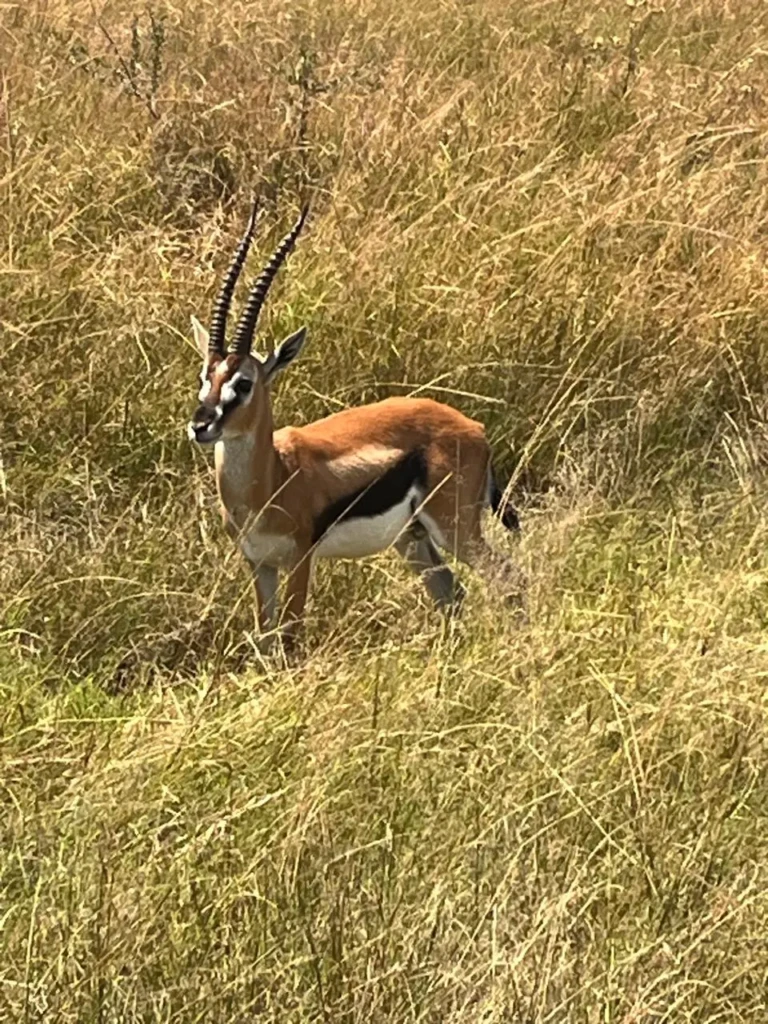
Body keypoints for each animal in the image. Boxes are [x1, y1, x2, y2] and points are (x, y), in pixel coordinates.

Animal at [188, 202, 521, 650]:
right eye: (204, 377)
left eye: (243, 383)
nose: (200, 425)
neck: (273, 477)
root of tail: (474, 428)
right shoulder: (259, 564)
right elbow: (266, 636)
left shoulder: (300, 560)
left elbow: (290, 638)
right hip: (412, 538)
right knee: (450, 591)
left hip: (455, 530)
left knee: (510, 579)